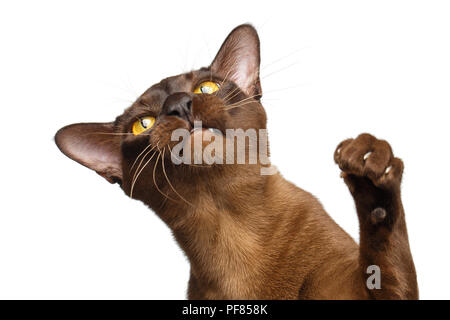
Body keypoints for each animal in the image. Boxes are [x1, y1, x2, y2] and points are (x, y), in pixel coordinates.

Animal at [55, 23, 418, 298]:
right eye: (142, 124)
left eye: (206, 88)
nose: (179, 104)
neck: (233, 227)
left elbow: (381, 240)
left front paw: (367, 169)